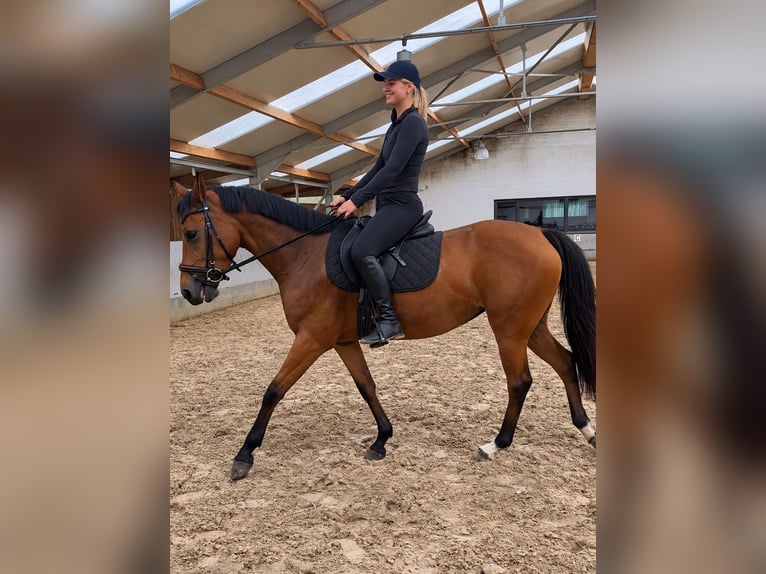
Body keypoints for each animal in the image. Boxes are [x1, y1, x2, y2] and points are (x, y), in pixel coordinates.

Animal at [173, 176, 596, 481]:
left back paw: (497, 444)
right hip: (530, 327)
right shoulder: (343, 341)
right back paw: (586, 429)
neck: (305, 255)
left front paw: (244, 455)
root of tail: (539, 233)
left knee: (520, 381)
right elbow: (367, 386)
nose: (189, 291)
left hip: (509, 330)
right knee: (565, 362)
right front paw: (381, 439)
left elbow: (273, 390)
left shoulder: (311, 339)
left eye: (191, 233)